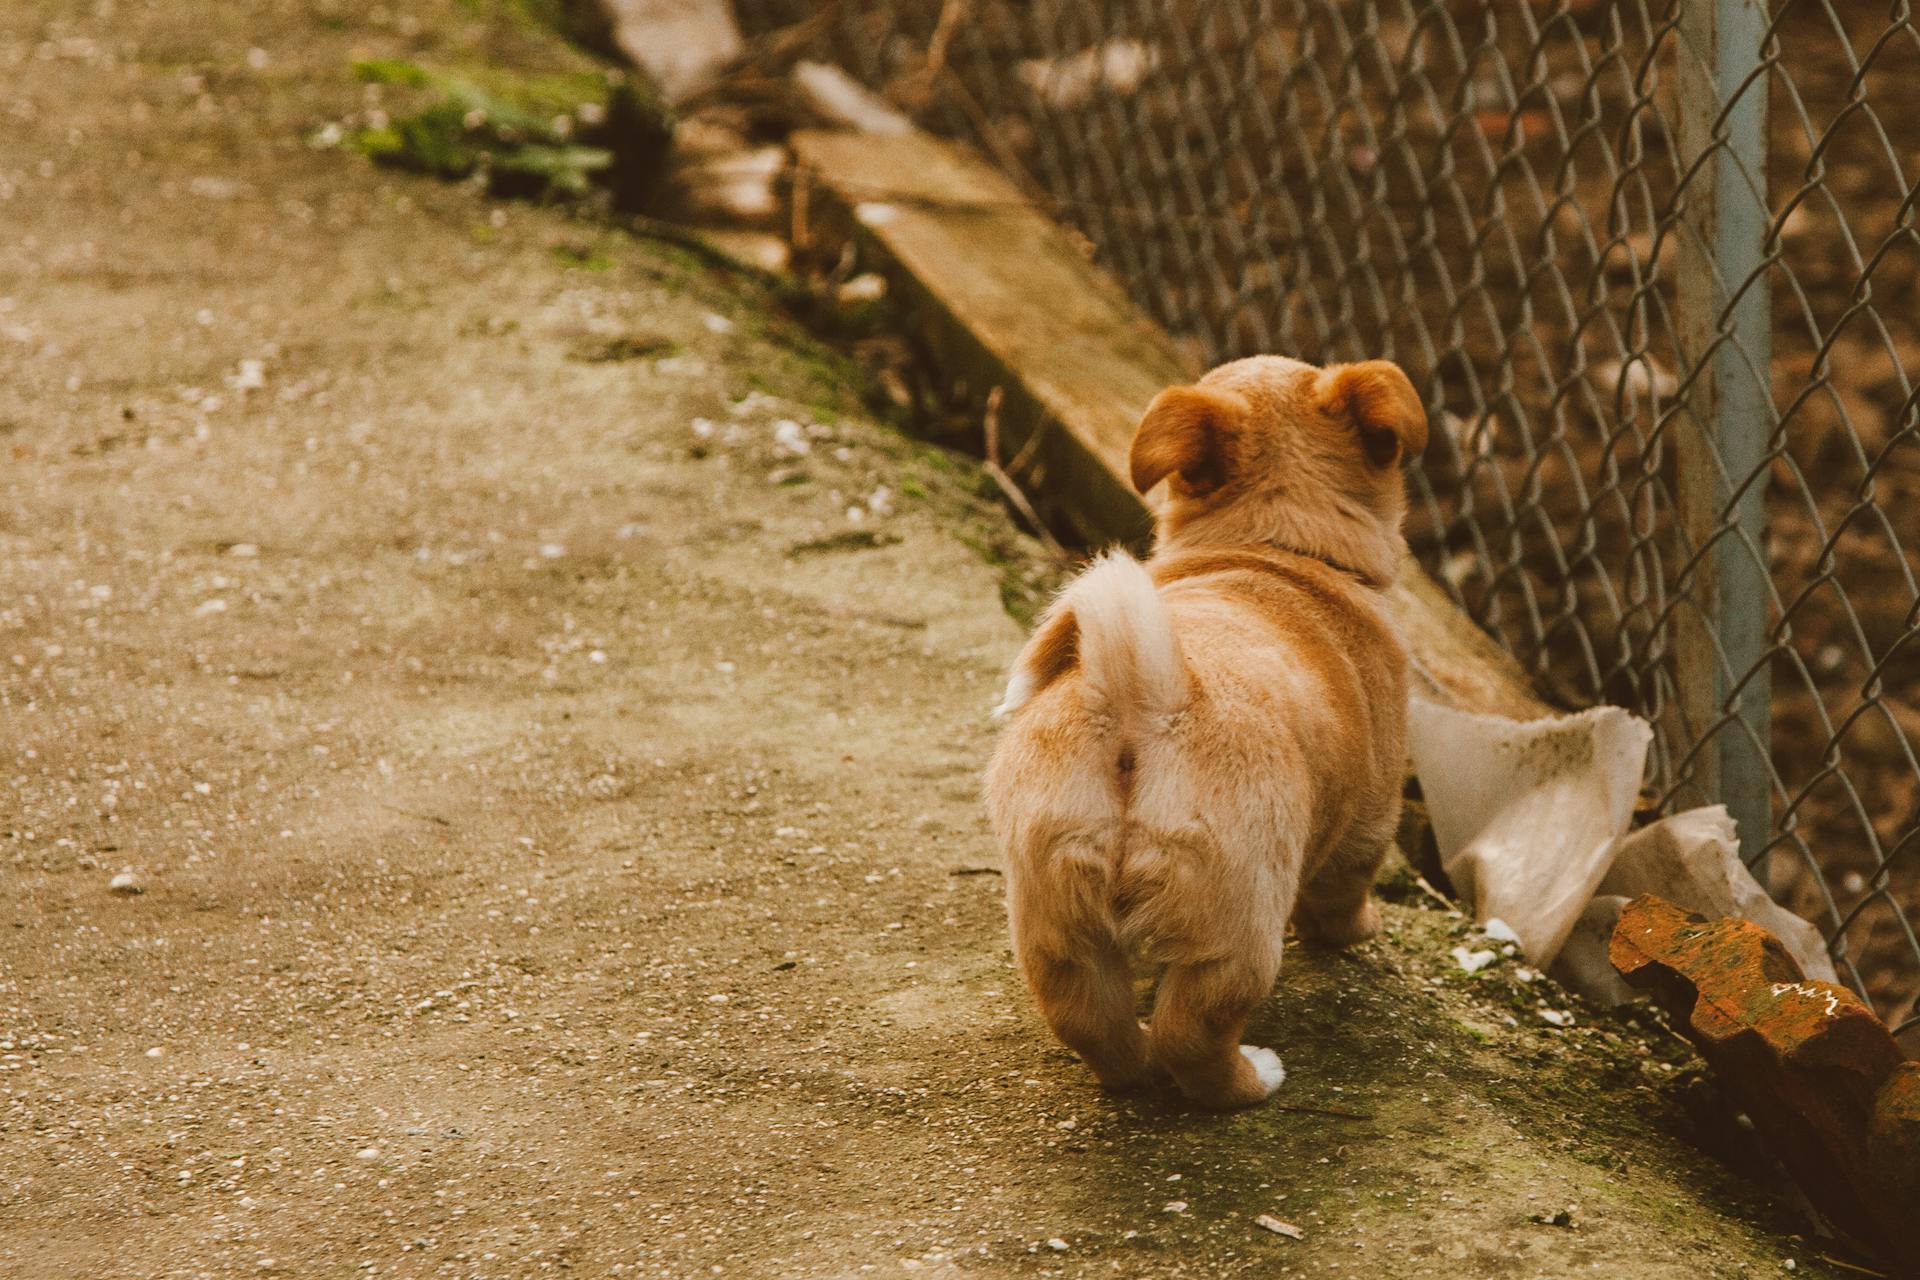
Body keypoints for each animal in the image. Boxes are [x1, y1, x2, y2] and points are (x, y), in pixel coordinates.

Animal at [990, 355, 1428, 1105]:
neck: (1273, 545)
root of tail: (1144, 699)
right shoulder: (1368, 826)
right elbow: (1342, 900)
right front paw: (1361, 930)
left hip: (1053, 920)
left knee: (1093, 1023)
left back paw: (1134, 1067)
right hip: (1239, 929)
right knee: (1194, 1036)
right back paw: (1251, 1080)